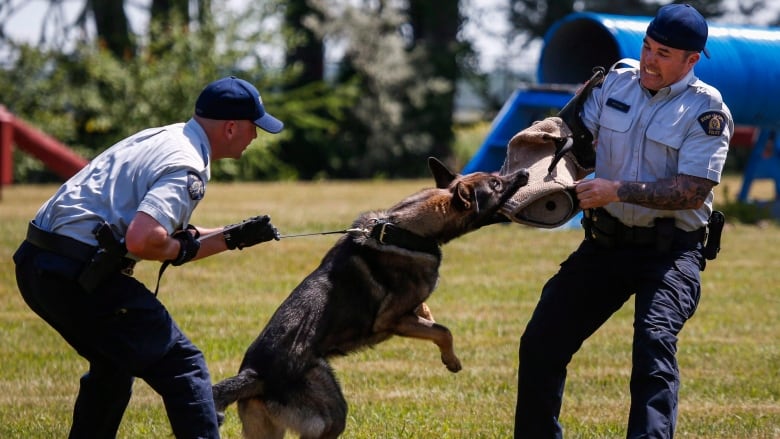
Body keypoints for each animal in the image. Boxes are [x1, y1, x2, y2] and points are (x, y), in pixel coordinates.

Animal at [213, 156, 532, 438]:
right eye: (496, 184)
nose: (525, 173)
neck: (409, 229)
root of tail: (253, 374)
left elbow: (428, 313)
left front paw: (429, 318)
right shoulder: (391, 320)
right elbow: (443, 331)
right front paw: (451, 360)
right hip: (328, 406)